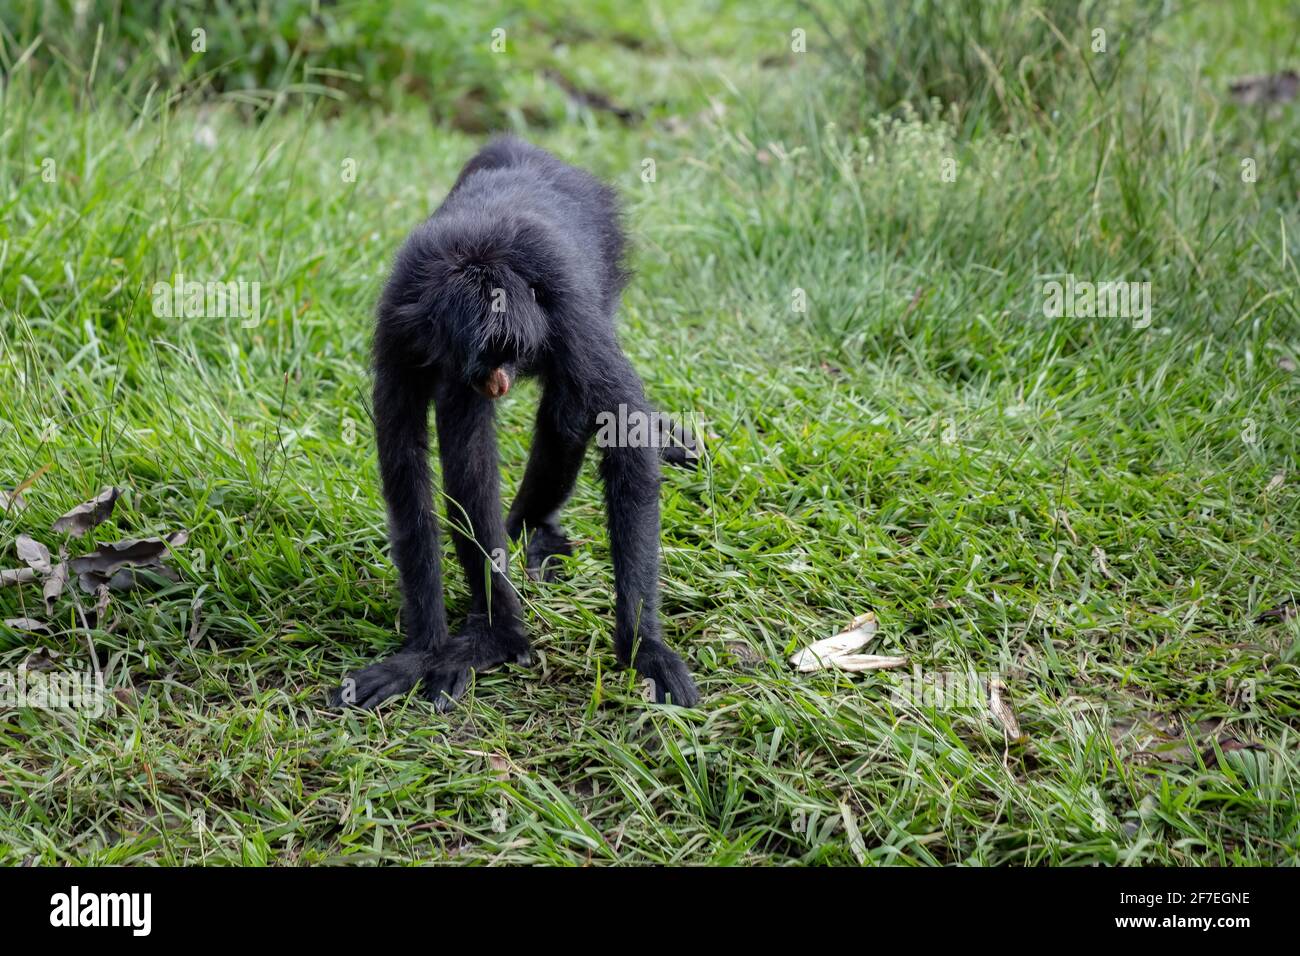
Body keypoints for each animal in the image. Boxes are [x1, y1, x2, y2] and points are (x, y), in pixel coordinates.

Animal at [331, 136, 700, 712]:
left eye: (511, 352)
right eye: (490, 358)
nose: (501, 381)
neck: (476, 248)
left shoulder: (564, 306)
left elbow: (626, 439)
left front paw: (645, 647)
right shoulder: (400, 318)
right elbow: (407, 472)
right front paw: (422, 652)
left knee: (564, 408)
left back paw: (529, 539)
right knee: (466, 440)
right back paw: (497, 631)